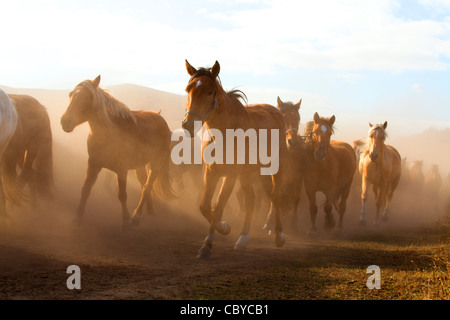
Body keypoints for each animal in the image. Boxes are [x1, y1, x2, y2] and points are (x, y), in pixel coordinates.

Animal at [58, 75, 174, 228]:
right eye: (70, 95)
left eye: (86, 98)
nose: (65, 122)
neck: (110, 133)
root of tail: (160, 118)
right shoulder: (93, 164)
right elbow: (85, 189)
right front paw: (77, 217)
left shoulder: (122, 169)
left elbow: (122, 194)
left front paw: (125, 220)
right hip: (140, 166)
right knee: (144, 184)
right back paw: (148, 210)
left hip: (156, 163)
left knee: (147, 187)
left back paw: (136, 216)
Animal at [182, 60, 284, 258]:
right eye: (188, 89)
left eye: (210, 91)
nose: (187, 125)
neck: (224, 132)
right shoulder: (211, 172)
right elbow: (205, 206)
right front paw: (224, 227)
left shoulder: (230, 175)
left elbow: (217, 207)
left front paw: (207, 246)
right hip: (248, 174)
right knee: (251, 200)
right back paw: (242, 239)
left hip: (273, 168)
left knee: (275, 197)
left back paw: (279, 236)